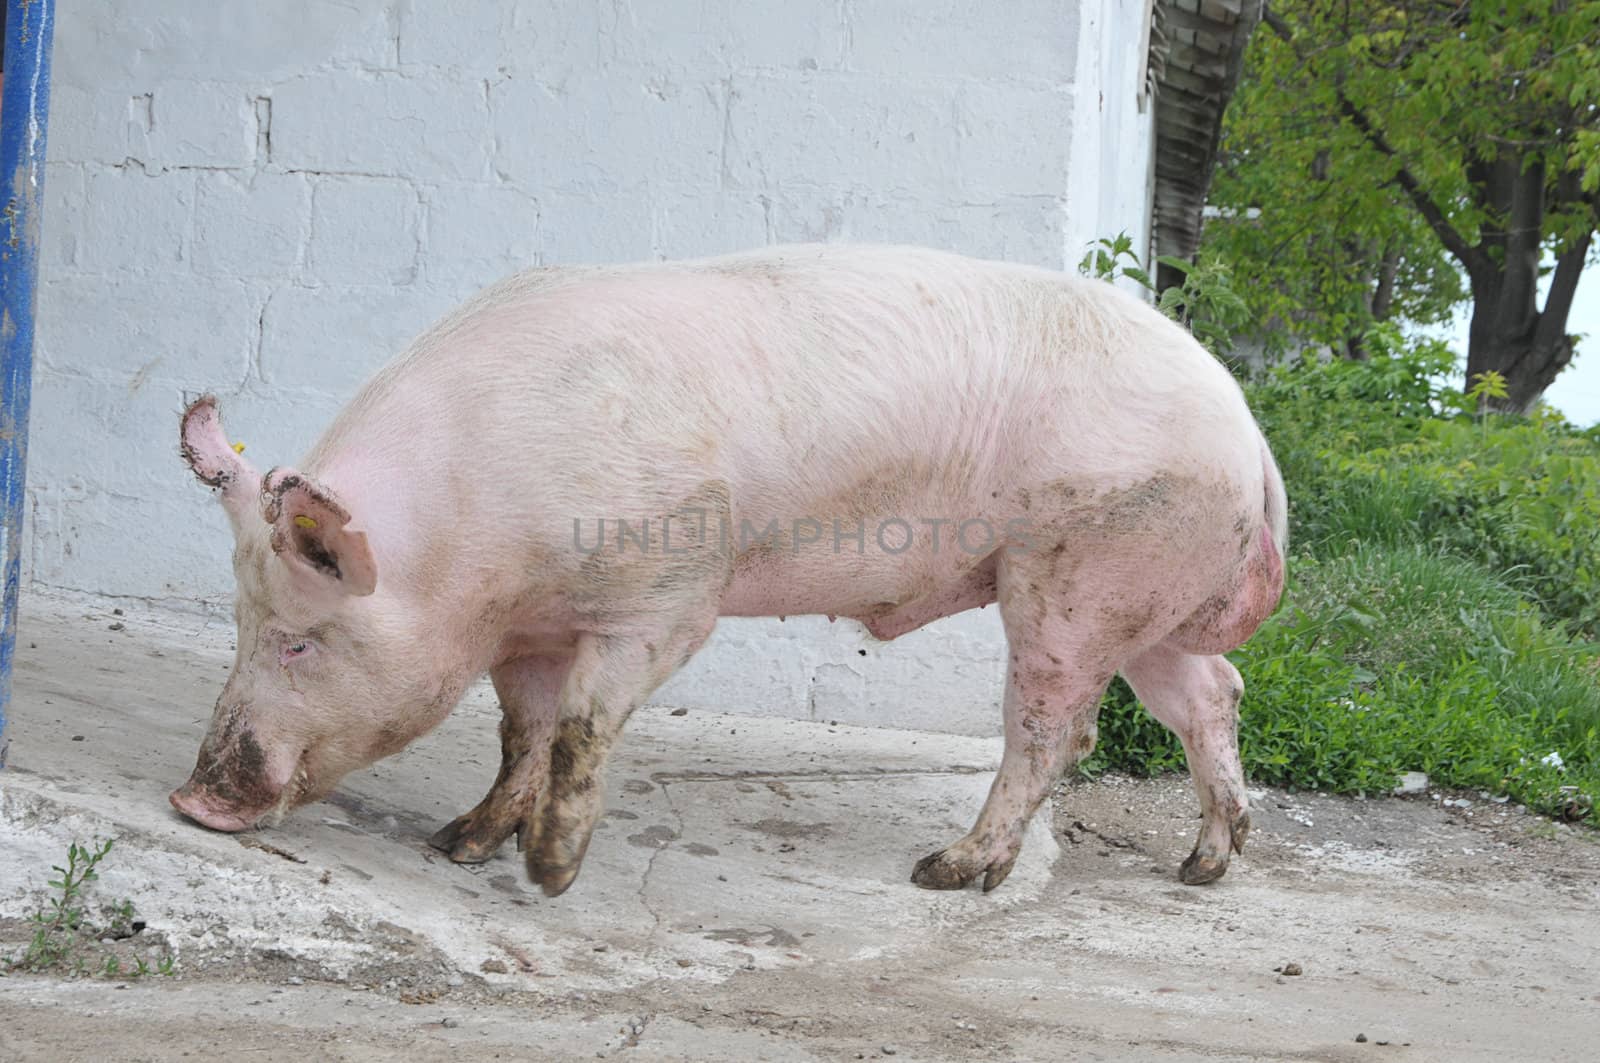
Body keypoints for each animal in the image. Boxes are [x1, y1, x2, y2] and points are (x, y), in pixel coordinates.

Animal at [172, 244, 1286, 890]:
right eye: (239, 621)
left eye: (301, 640)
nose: (191, 800)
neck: (473, 542)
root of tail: (1250, 436)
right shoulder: (524, 628)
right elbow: (521, 729)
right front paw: (458, 843)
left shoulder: (669, 595)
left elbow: (582, 726)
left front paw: (549, 871)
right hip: (1150, 592)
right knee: (1211, 691)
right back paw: (1204, 865)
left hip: (1077, 572)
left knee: (1055, 727)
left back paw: (945, 868)